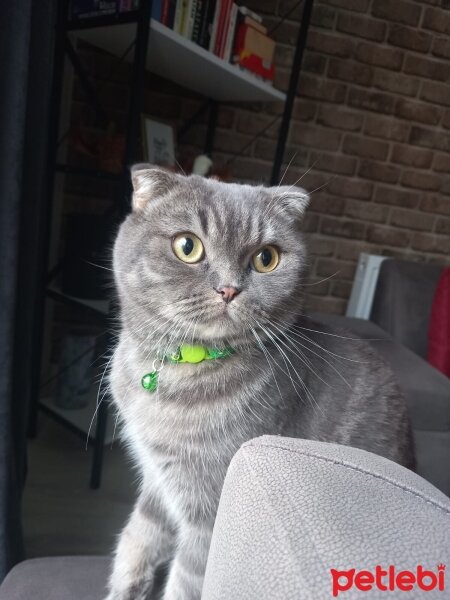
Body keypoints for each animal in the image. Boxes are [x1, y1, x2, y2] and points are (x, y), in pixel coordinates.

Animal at [106, 166, 414, 600]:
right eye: (187, 246)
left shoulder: (208, 514)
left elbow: (185, 582)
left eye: (266, 258)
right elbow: (137, 541)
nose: (229, 289)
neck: (180, 369)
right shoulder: (157, 482)